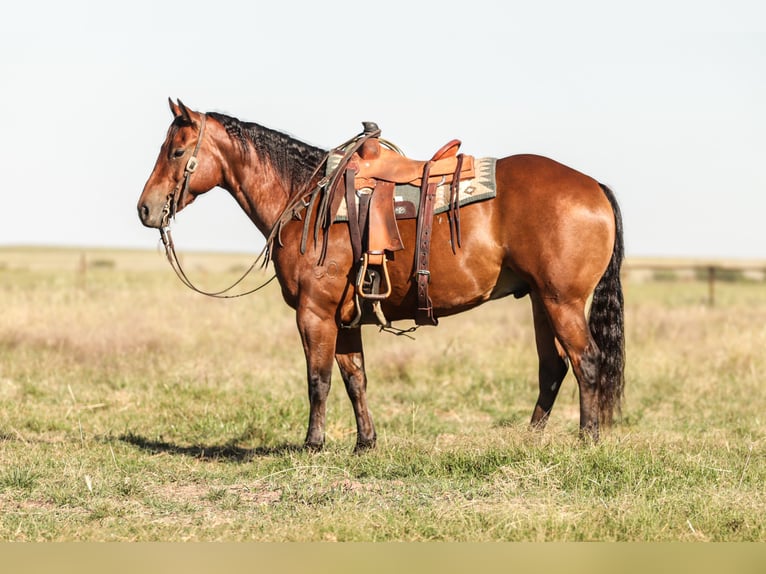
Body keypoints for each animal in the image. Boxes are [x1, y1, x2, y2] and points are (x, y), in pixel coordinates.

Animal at [137, 99, 625, 451]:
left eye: (177, 151)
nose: (145, 208)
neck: (305, 199)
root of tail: (594, 186)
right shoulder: (345, 318)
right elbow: (355, 378)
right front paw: (365, 443)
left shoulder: (314, 314)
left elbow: (318, 380)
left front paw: (312, 444)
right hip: (541, 301)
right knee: (553, 367)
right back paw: (530, 440)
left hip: (562, 302)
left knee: (587, 361)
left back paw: (587, 441)